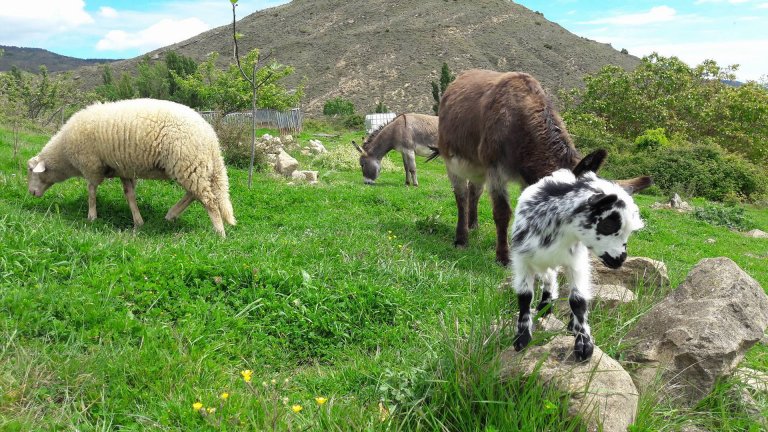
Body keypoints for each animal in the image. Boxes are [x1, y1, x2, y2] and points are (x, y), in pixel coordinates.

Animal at [27, 98, 236, 236]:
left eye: (31, 171)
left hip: (188, 163)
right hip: (193, 167)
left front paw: (92, 216)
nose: (31, 193)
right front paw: (138, 221)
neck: (64, 155)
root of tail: (211, 138)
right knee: (194, 194)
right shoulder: (124, 169)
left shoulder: (91, 165)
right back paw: (171, 215)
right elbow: (130, 196)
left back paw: (219, 233)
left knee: (208, 199)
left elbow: (91, 192)